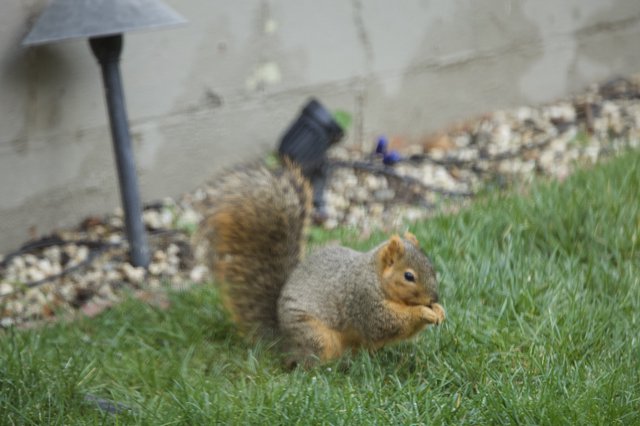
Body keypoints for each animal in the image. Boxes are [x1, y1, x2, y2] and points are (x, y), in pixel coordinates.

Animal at [200, 162, 445, 367]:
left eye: (432, 267)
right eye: (409, 276)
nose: (434, 298)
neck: (374, 276)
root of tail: (284, 341)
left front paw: (439, 311)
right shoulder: (363, 300)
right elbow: (385, 323)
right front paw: (423, 312)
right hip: (314, 334)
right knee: (311, 362)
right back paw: (333, 367)